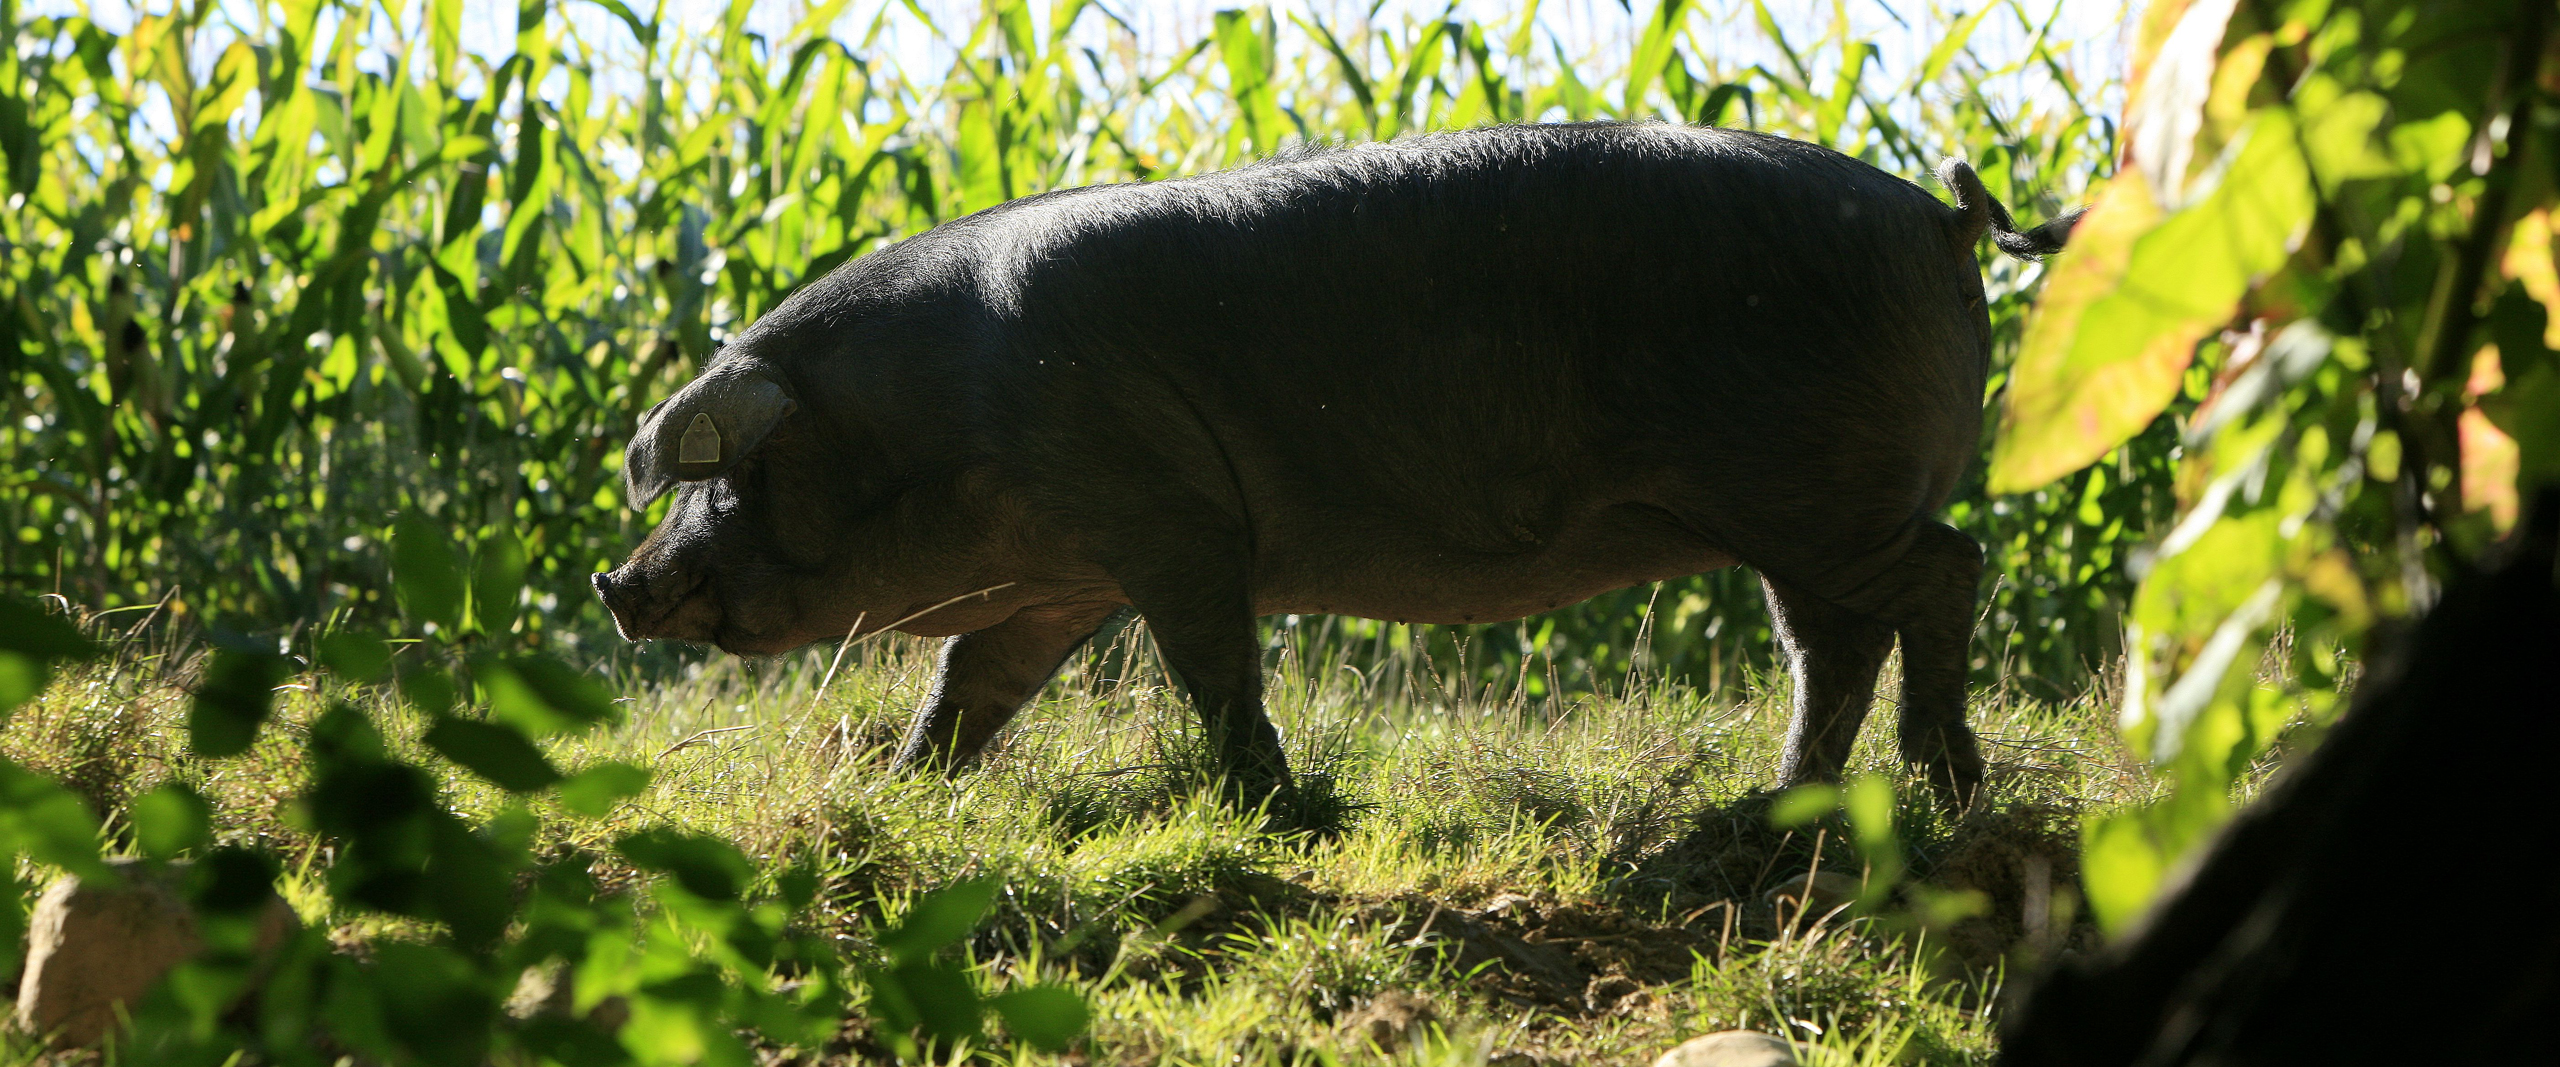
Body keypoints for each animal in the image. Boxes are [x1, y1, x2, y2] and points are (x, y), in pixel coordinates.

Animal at [599, 120, 2078, 803]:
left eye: (732, 473)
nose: (618, 583)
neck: (943, 414)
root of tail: (1939, 217)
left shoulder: (1173, 518)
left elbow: (1213, 666)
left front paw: (1278, 803)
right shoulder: (1062, 574)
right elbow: (974, 683)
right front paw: (904, 786)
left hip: (1811, 488)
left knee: (1945, 572)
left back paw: (1942, 785)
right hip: (1793, 509)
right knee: (1835, 640)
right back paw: (1775, 808)